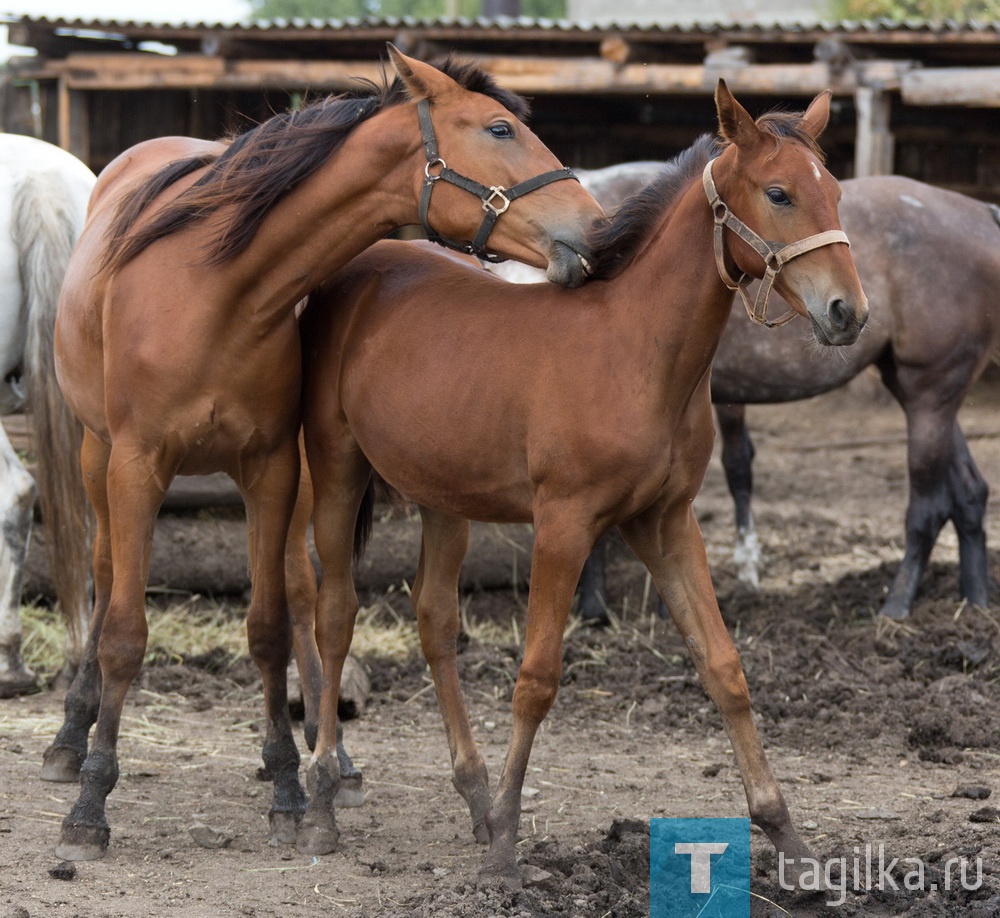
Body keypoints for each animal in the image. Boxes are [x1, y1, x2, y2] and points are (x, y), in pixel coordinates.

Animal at [47, 43, 604, 864]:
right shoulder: (136, 466)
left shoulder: (272, 467)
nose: (599, 229)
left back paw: (330, 759)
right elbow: (123, 632)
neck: (217, 290)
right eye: (500, 128)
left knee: (302, 590)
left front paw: (288, 782)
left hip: (303, 477)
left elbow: (271, 628)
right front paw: (91, 801)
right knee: (106, 570)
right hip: (96, 456)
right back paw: (69, 738)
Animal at [294, 84, 868, 884]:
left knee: (434, 620)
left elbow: (724, 666)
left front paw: (788, 837)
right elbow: (537, 677)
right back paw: (322, 801)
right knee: (335, 612)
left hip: (444, 495)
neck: (635, 350)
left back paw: (472, 797)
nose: (849, 313)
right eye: (780, 193)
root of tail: (359, 264)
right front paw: (506, 846)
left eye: (836, 192)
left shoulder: (666, 521)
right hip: (337, 467)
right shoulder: (564, 525)